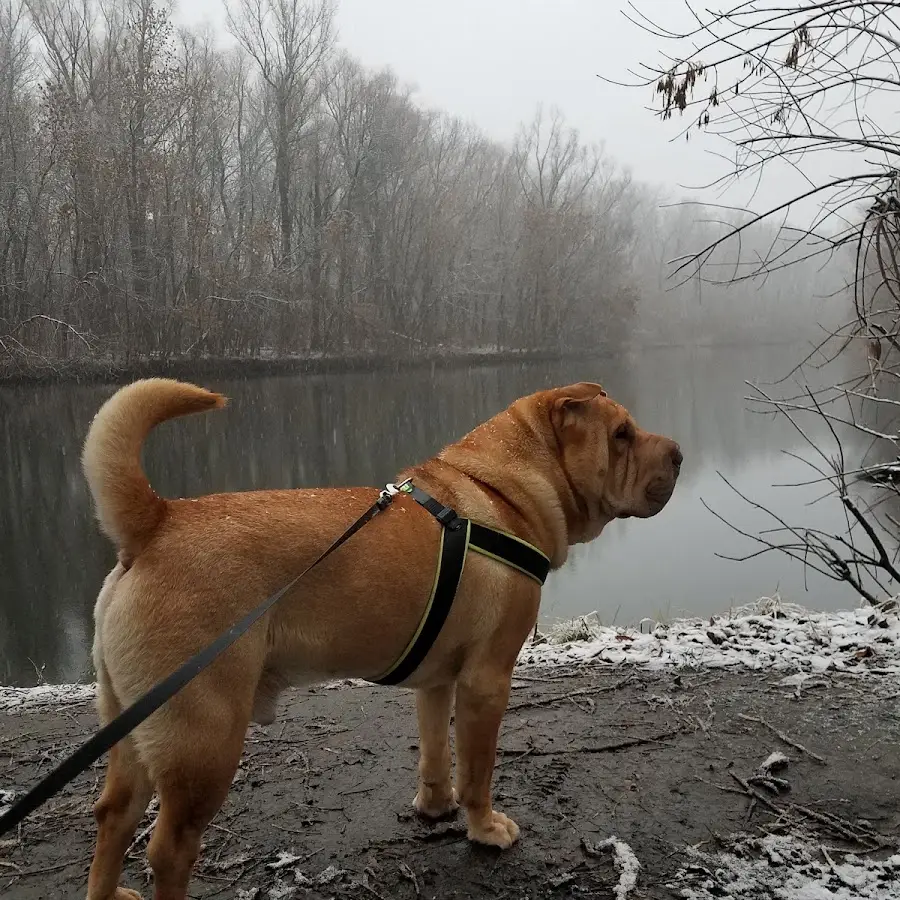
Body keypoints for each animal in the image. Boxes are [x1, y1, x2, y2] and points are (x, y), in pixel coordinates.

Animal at [81, 376, 684, 896]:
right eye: (622, 434)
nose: (678, 452)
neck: (501, 490)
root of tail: (156, 520)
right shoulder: (487, 679)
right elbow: (478, 769)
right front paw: (485, 827)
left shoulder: (438, 680)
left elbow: (437, 752)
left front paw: (435, 807)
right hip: (202, 740)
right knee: (168, 849)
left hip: (131, 726)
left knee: (112, 816)